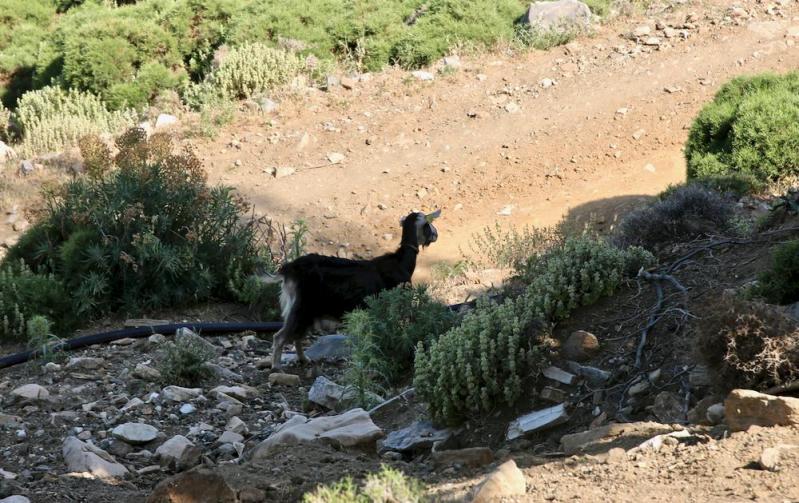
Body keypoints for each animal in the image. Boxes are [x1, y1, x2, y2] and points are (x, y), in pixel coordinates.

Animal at [264, 211, 440, 372]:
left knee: (297, 336)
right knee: (280, 336)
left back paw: (304, 359)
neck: (401, 262)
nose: (436, 235)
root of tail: (289, 269)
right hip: (302, 306)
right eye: (429, 223)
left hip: (309, 311)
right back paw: (276, 366)